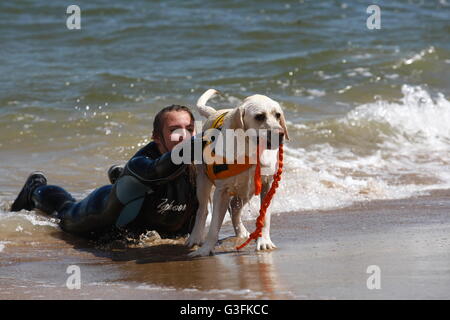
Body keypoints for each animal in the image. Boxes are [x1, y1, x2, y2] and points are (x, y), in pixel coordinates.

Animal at [185, 89, 288, 256]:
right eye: (259, 116)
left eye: (278, 115)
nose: (280, 134)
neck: (250, 151)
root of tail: (214, 112)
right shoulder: (221, 191)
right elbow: (214, 226)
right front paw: (206, 249)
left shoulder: (268, 185)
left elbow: (264, 217)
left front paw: (264, 241)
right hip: (203, 181)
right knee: (203, 210)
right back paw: (195, 238)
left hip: (247, 189)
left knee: (234, 207)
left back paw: (241, 233)